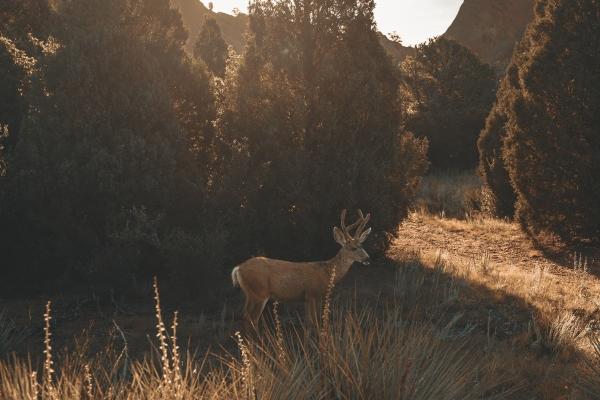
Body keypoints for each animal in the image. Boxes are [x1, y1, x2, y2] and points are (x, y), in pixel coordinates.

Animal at [231, 209, 368, 328]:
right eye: (354, 248)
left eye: (362, 245)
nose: (368, 258)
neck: (326, 273)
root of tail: (238, 268)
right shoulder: (312, 293)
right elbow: (314, 323)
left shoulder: (308, 298)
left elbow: (309, 323)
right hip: (260, 292)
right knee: (252, 319)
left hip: (250, 293)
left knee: (245, 316)